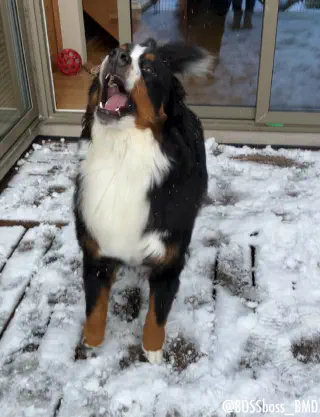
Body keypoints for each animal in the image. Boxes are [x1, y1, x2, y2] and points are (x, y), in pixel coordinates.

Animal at [74, 39, 210, 364]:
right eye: (114, 50)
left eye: (148, 69)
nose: (116, 55)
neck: (123, 157)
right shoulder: (96, 252)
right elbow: (95, 308)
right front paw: (92, 342)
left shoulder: (167, 262)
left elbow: (157, 314)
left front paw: (152, 350)